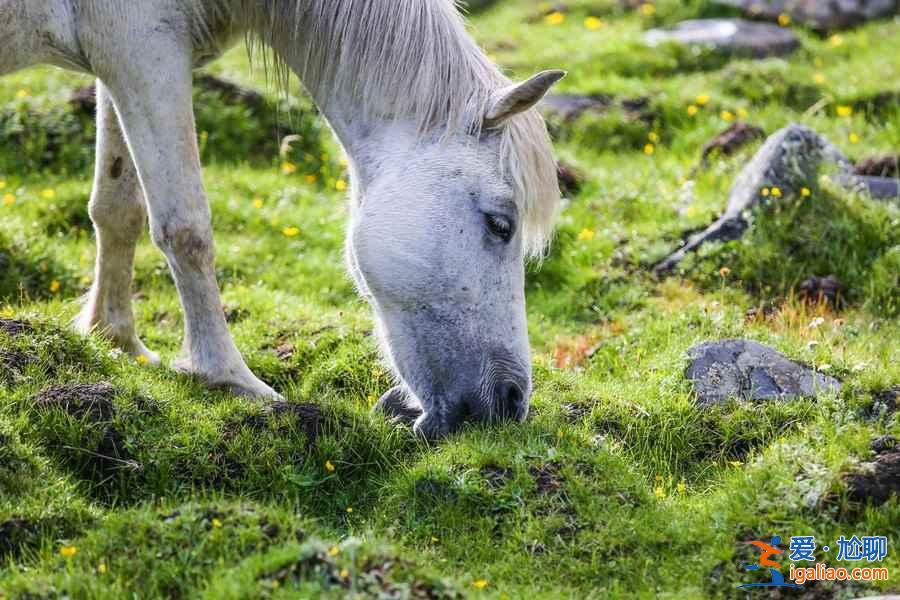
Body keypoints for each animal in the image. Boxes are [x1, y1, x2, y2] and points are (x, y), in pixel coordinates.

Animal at [0, 1, 564, 440]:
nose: (512, 402)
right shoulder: (144, 55)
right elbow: (186, 228)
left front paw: (115, 340)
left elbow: (119, 208)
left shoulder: (117, 65)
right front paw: (228, 378)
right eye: (500, 225)